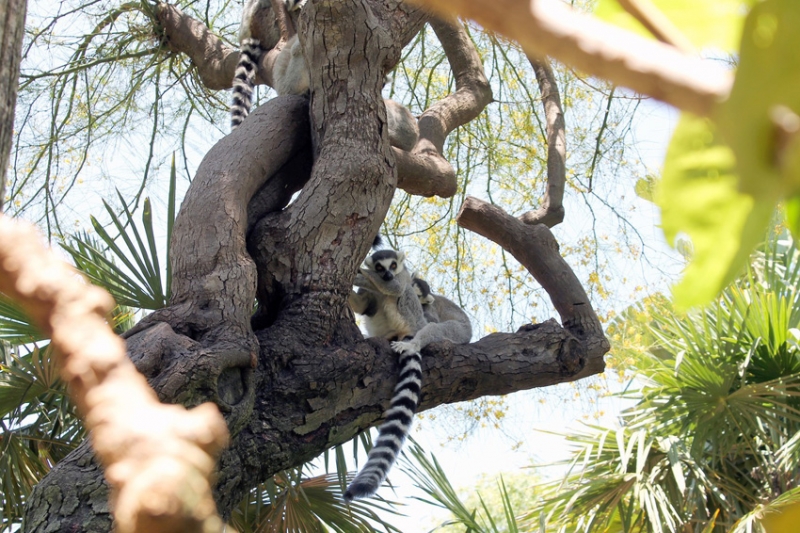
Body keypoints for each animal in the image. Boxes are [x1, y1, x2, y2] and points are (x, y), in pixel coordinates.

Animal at [345, 247, 471, 501]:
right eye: (381, 267)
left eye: (393, 266)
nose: (386, 276)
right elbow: (362, 305)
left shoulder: (403, 283)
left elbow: (395, 289)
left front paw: (359, 274)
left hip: (424, 322)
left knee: (410, 308)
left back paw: (412, 343)